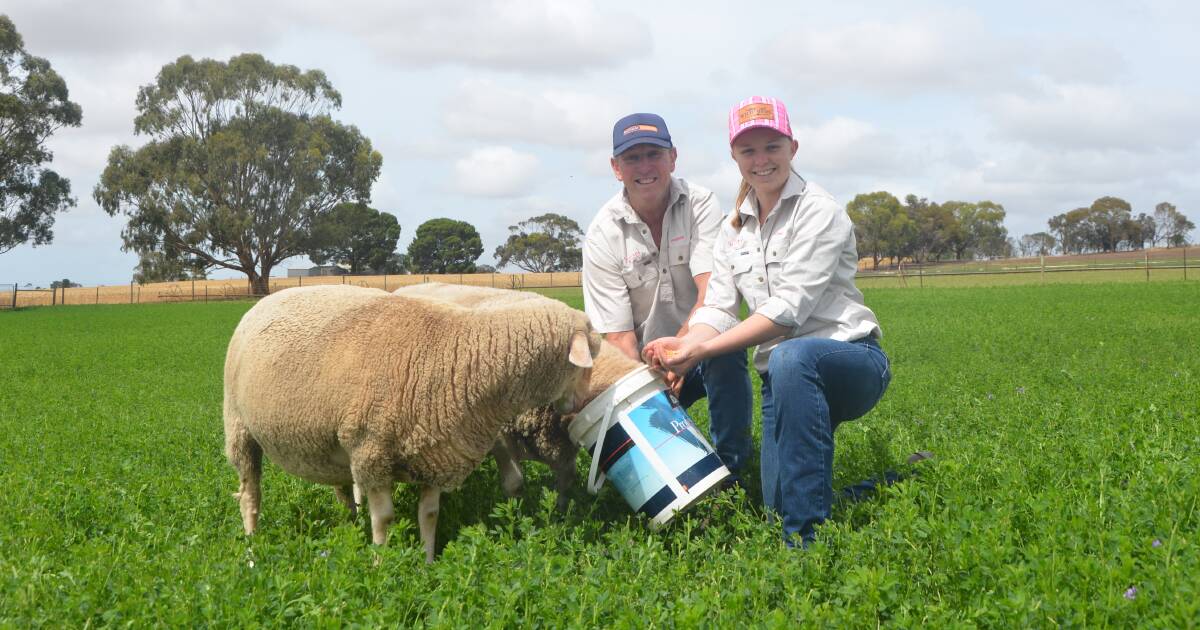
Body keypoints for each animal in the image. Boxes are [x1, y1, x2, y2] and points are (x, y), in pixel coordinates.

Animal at [223, 283, 597, 559]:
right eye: (586, 360)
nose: (578, 404)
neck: (460, 356)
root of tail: (265, 300)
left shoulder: (435, 454)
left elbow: (429, 515)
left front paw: (429, 561)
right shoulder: (371, 452)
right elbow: (384, 518)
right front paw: (380, 564)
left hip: (323, 439)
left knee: (340, 488)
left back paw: (350, 523)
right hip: (239, 427)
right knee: (249, 495)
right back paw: (252, 548)